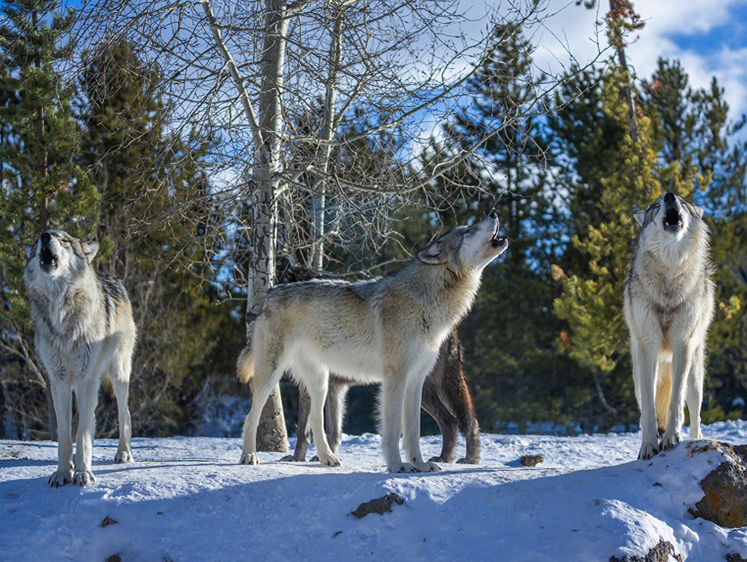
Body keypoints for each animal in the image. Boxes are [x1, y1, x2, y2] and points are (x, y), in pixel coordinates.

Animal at [23, 230, 136, 484]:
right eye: (37, 239)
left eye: (63, 239)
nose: (45, 235)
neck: (61, 311)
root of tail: (115, 280)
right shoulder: (59, 380)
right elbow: (66, 435)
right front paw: (63, 473)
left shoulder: (87, 378)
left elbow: (82, 434)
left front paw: (83, 473)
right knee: (90, 419)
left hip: (117, 372)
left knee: (124, 413)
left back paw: (123, 453)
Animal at [240, 212, 508, 470]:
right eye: (468, 230)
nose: (494, 213)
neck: (425, 304)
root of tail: (268, 296)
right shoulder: (395, 378)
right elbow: (393, 429)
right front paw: (398, 466)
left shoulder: (416, 380)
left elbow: (413, 431)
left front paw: (420, 465)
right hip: (272, 373)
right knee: (251, 415)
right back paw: (249, 456)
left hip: (322, 382)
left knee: (315, 420)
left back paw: (328, 459)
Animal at [624, 192, 716, 460]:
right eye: (656, 206)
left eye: (683, 202)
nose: (669, 196)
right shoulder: (647, 347)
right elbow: (649, 409)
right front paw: (648, 445)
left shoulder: (682, 344)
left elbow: (676, 402)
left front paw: (671, 438)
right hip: (638, 376)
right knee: (647, 406)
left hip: (695, 375)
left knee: (695, 414)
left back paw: (697, 440)